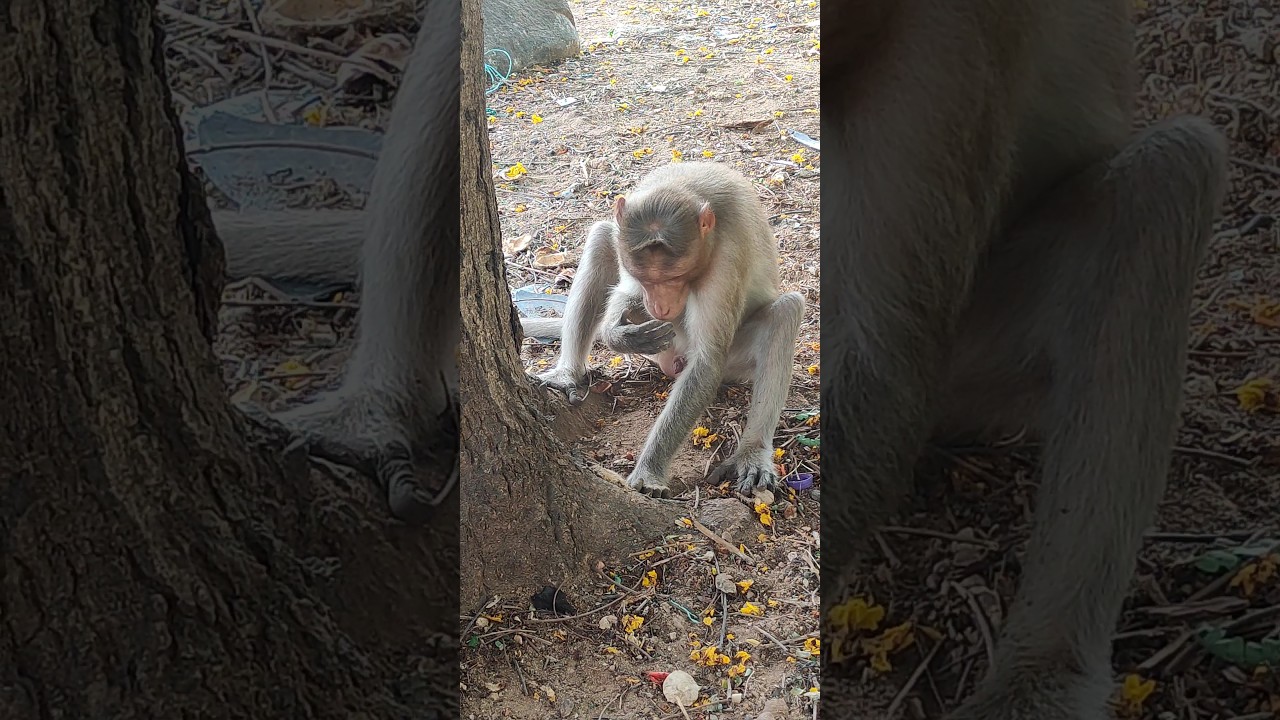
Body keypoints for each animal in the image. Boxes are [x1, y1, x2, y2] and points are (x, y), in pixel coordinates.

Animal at [522, 162, 806, 498]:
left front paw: (648, 472)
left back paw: (752, 451)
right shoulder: (627, 246)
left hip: (734, 361)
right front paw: (617, 333)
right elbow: (626, 289)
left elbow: (707, 361)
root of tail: (670, 359)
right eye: (646, 278)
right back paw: (568, 373)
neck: (687, 188)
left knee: (785, 313)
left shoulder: (726, 261)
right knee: (602, 237)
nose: (659, 306)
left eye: (674, 278)